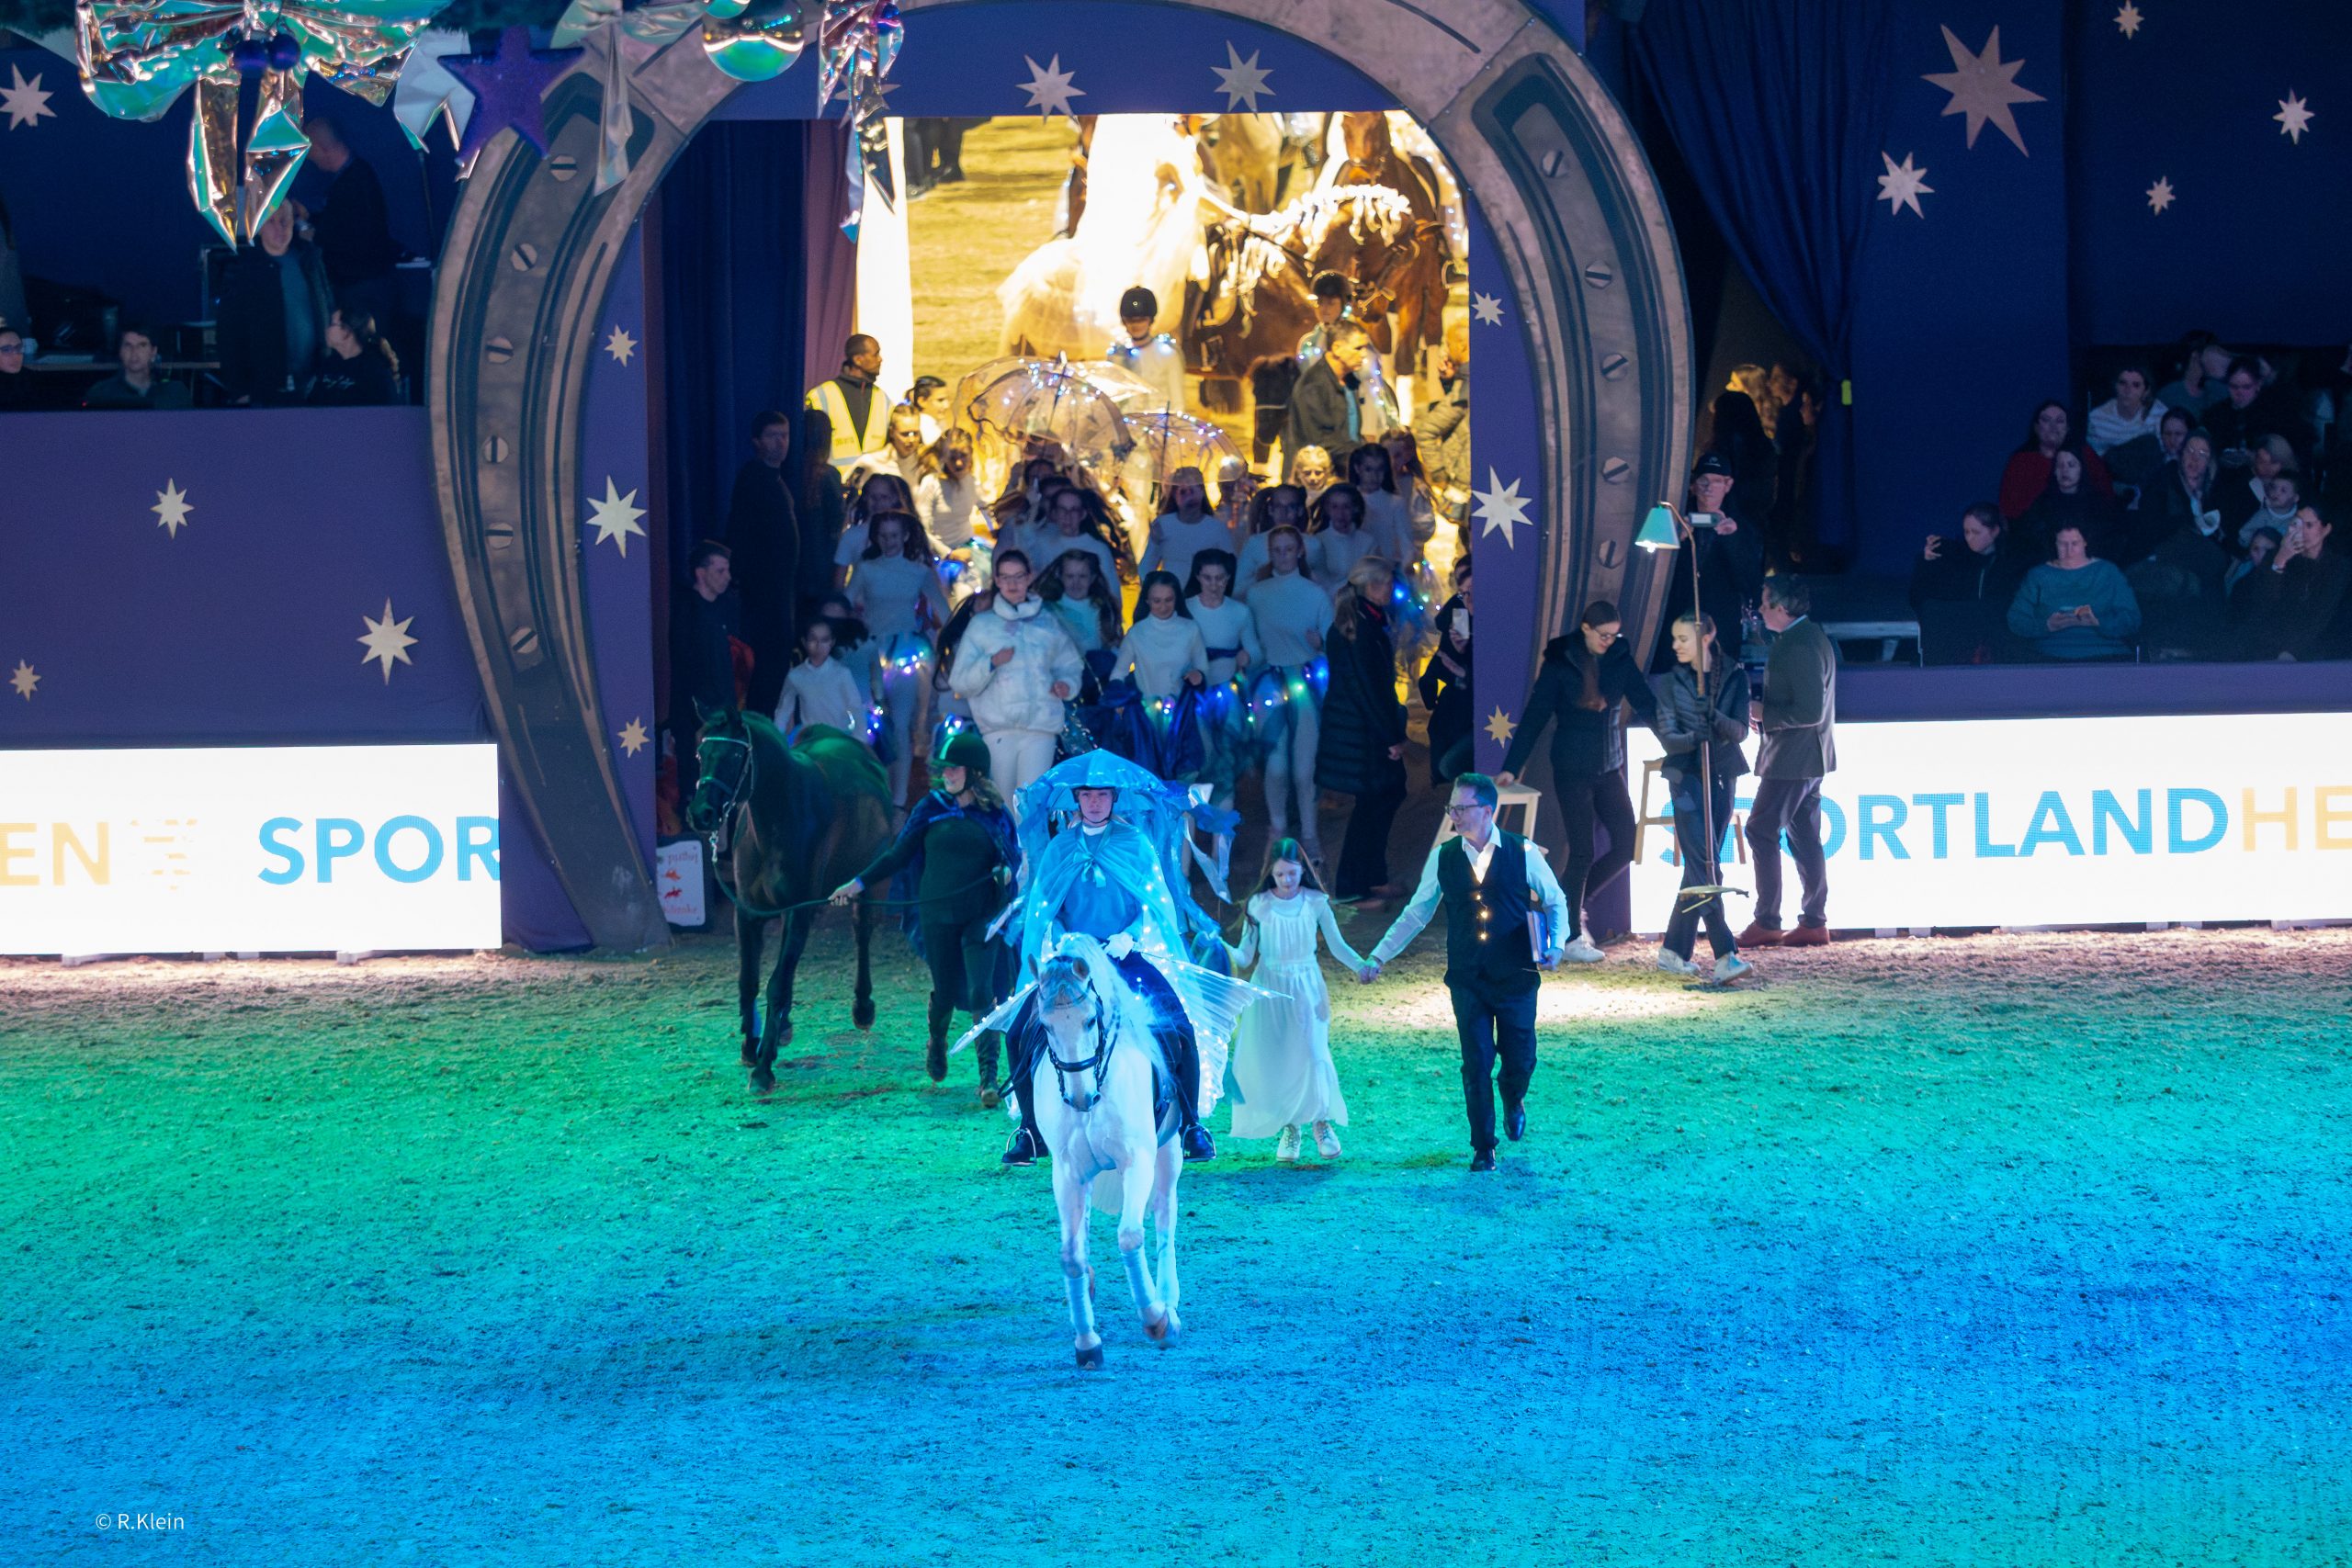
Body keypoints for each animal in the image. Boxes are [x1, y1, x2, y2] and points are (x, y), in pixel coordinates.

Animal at [685, 708, 896, 1093]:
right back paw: (782, 1025)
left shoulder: (797, 914)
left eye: (735, 754)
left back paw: (862, 1007)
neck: (778, 817)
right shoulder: (748, 916)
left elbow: (776, 984)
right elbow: (750, 981)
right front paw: (751, 1045)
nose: (701, 813)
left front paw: (762, 1069)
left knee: (861, 935)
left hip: (868, 886)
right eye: (700, 754)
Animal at [1023, 939, 1185, 1368]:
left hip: (1169, 1149)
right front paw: (1087, 1342)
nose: (1081, 1098)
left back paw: (1168, 1299)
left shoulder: (1138, 1160)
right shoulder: (1066, 1173)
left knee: (1164, 1213)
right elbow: (1070, 1255)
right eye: (1046, 1026)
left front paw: (1157, 1321)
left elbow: (1129, 1236)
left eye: (1090, 1021)